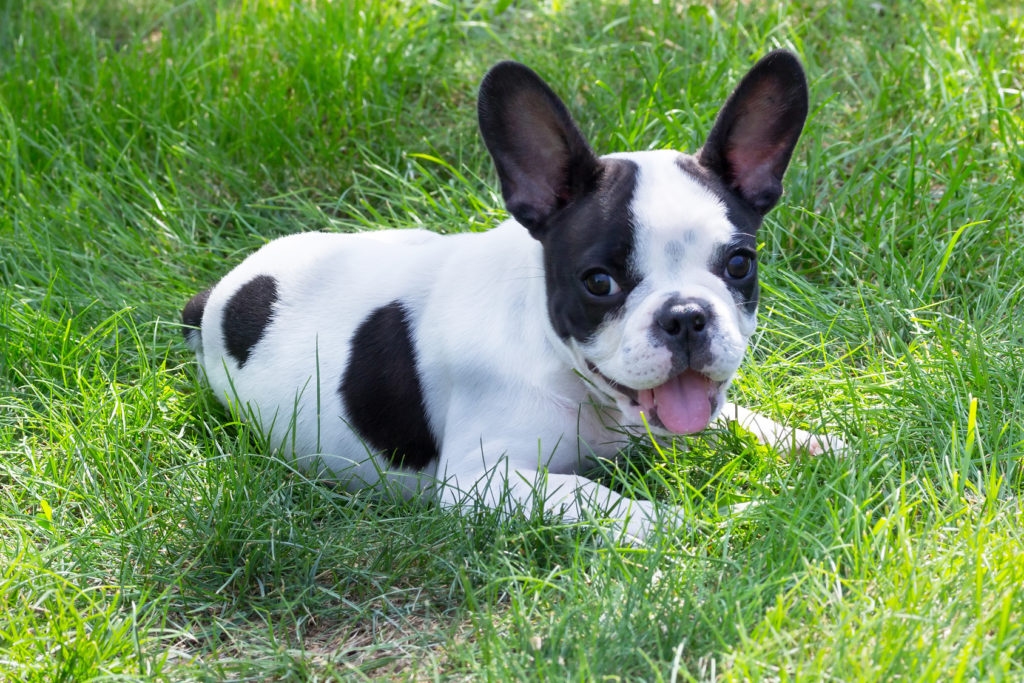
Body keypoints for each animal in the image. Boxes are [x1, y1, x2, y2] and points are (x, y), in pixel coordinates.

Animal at [182, 50, 839, 540]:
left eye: (739, 264)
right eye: (598, 282)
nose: (686, 316)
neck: (574, 380)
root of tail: (220, 295)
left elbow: (737, 417)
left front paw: (814, 445)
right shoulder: (481, 479)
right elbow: (605, 499)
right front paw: (704, 522)